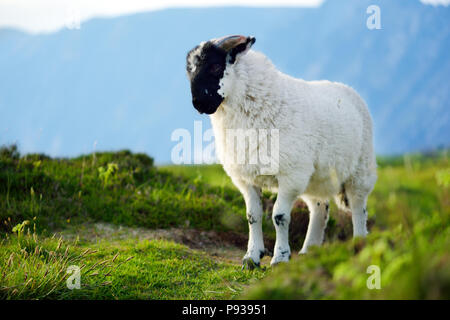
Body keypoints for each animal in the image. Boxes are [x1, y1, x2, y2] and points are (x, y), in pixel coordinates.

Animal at [186, 35, 376, 268]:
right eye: (189, 70)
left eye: (214, 66)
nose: (199, 104)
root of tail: (346, 88)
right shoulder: (246, 178)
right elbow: (253, 216)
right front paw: (252, 257)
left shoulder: (290, 175)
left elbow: (280, 216)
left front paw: (280, 258)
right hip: (314, 177)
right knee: (319, 208)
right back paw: (309, 251)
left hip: (360, 169)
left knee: (359, 206)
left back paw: (359, 244)